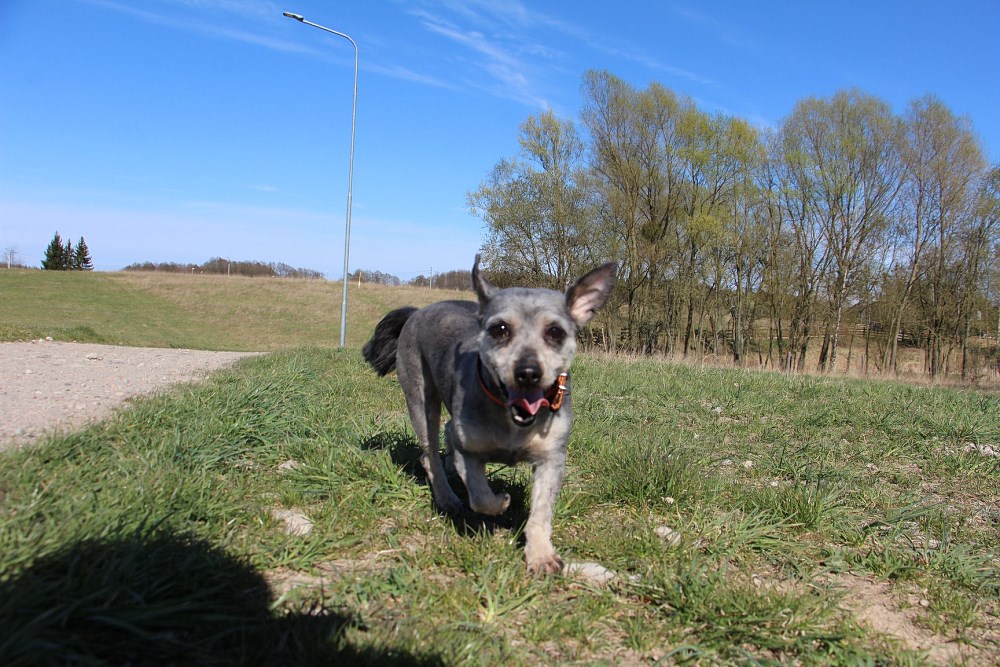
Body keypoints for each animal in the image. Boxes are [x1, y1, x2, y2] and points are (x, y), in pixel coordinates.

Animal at [362, 256, 616, 574]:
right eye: (500, 329)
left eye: (555, 332)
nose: (528, 372)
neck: (512, 422)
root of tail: (417, 311)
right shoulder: (468, 452)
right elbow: (481, 495)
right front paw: (502, 501)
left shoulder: (551, 458)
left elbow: (541, 512)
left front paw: (541, 556)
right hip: (419, 396)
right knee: (430, 453)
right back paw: (448, 498)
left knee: (447, 431)